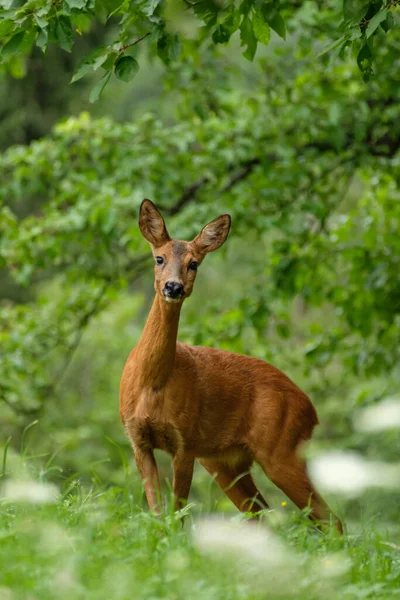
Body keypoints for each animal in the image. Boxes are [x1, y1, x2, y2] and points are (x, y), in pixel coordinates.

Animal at [119, 199, 340, 532]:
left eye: (194, 263)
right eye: (159, 258)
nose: (173, 287)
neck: (153, 384)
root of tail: (311, 411)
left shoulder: (186, 440)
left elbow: (178, 513)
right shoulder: (138, 439)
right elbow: (158, 512)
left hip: (281, 449)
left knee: (331, 519)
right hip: (226, 463)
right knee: (264, 515)